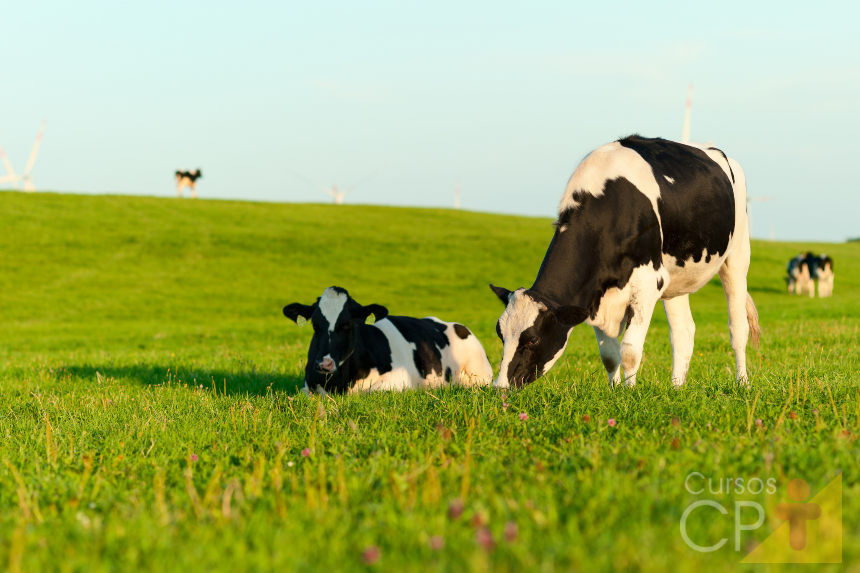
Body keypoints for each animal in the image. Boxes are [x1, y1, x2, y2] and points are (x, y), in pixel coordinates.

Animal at [286, 286, 494, 394]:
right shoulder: (307, 386)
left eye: (347, 324)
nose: (324, 364)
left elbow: (370, 391)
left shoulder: (400, 377)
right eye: (315, 324)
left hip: (479, 374)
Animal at [488, 134, 764, 388]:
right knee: (683, 332)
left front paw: (631, 392)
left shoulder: (648, 281)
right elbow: (609, 355)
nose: (500, 386)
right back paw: (676, 388)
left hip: (737, 255)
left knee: (738, 328)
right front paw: (615, 391)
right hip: (677, 277)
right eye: (500, 333)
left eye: (532, 339)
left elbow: (629, 350)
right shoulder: (594, 291)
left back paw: (743, 383)